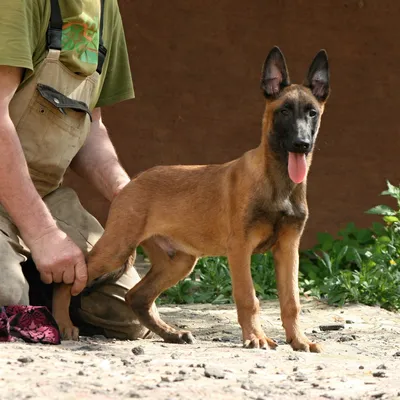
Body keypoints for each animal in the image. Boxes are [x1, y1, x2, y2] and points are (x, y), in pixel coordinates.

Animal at [53, 47, 330, 352]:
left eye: (312, 113)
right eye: (284, 111)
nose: (302, 144)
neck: (277, 182)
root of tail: (132, 183)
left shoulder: (288, 249)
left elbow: (291, 301)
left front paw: (299, 340)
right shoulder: (240, 248)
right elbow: (248, 298)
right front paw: (255, 336)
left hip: (178, 262)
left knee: (137, 297)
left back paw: (172, 334)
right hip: (117, 247)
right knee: (69, 280)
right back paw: (63, 323)